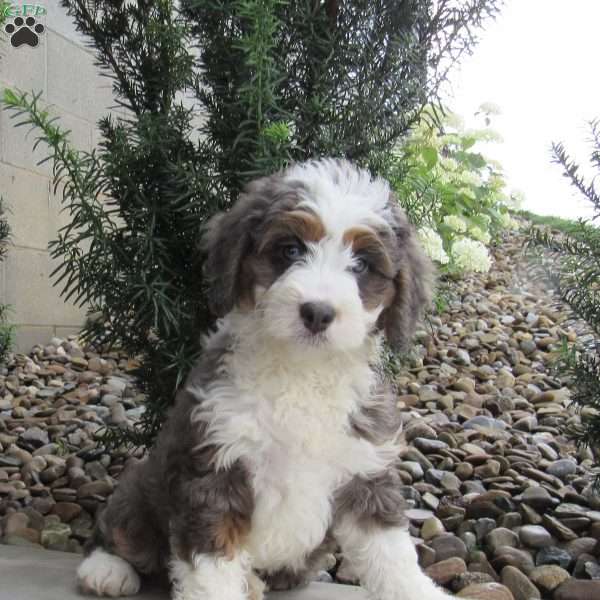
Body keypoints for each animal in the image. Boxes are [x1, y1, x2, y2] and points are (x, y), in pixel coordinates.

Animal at [77, 159, 452, 600]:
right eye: (290, 250)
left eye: (361, 264)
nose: (317, 312)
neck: (302, 370)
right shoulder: (214, 470)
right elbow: (212, 567)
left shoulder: (366, 471)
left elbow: (391, 553)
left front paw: (418, 591)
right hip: (142, 486)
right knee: (121, 530)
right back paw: (106, 570)